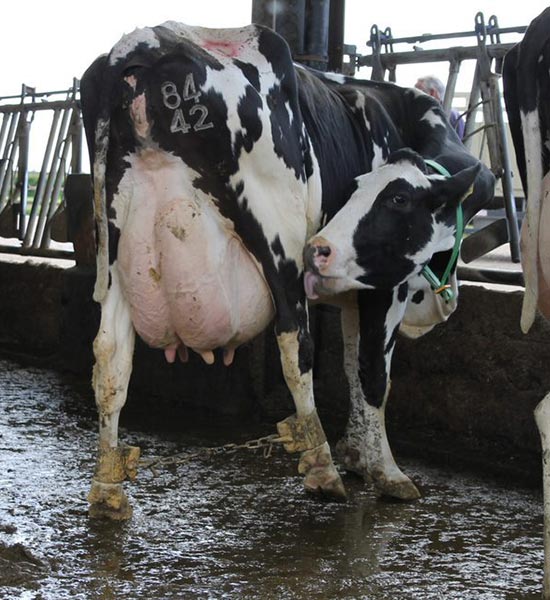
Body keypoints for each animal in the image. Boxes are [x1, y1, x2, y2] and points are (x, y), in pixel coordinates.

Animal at [81, 22, 496, 520]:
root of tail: (144, 41)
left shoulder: (353, 286)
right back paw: (321, 467)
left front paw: (357, 451)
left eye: (394, 197)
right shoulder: (385, 284)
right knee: (295, 344)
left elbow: (351, 362)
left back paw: (107, 487)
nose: (321, 249)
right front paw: (386, 472)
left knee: (110, 359)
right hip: (277, 242)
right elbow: (372, 371)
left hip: (117, 253)